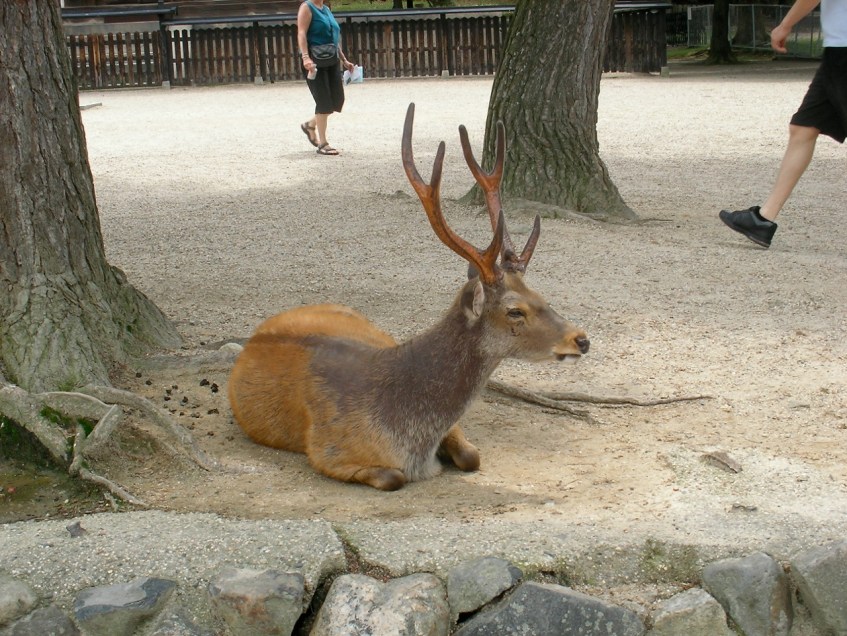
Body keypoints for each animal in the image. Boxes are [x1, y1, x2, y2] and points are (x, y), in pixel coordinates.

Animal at [227, 103, 589, 491]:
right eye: (515, 311)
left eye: (539, 293)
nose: (581, 339)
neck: (410, 433)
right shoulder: (328, 452)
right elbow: (393, 477)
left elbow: (472, 457)